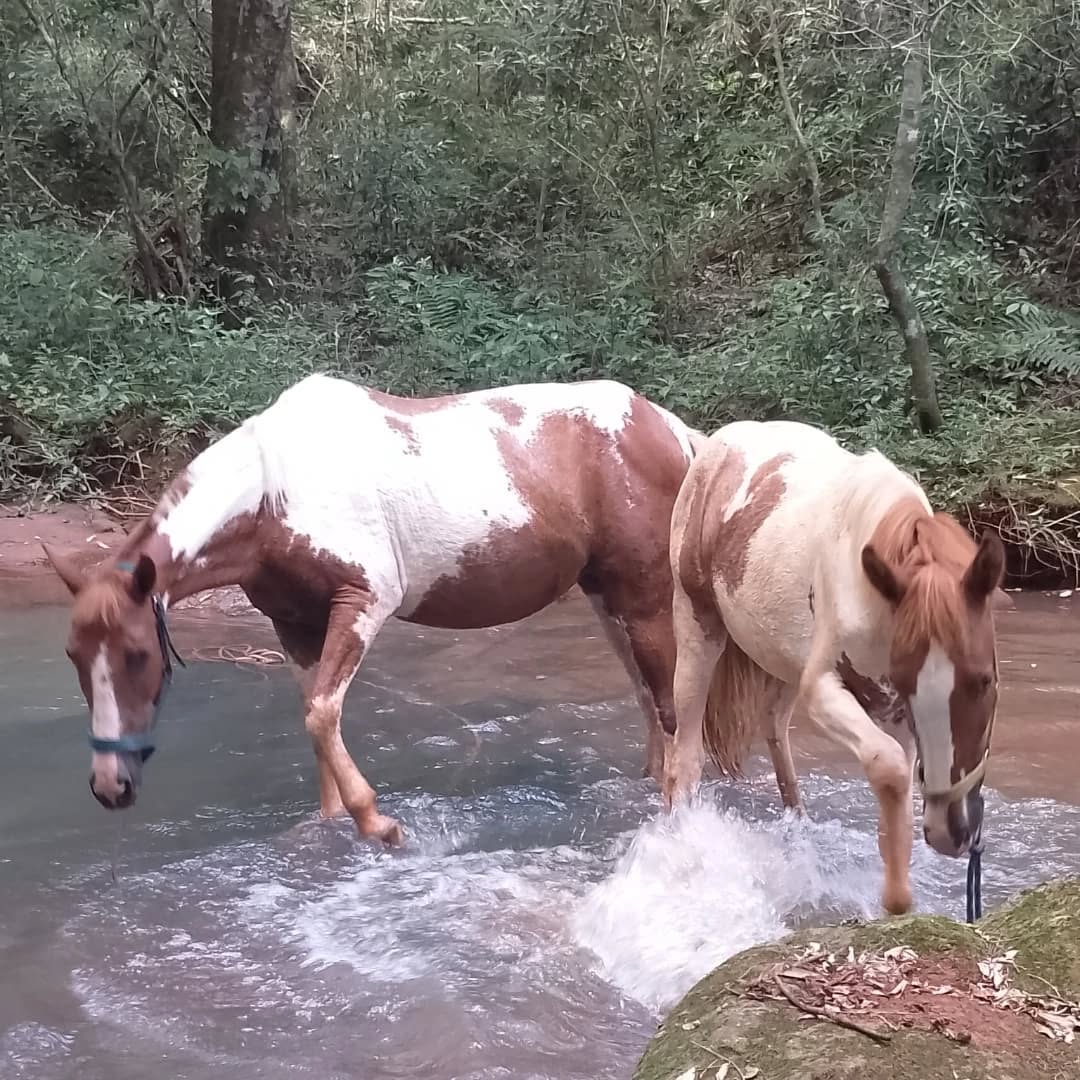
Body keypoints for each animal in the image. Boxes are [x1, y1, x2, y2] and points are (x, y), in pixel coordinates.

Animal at [45, 374, 716, 845]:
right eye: (74, 657)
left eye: (138, 656)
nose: (110, 787)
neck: (273, 494)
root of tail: (667, 428)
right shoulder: (293, 625)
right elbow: (314, 718)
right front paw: (331, 824)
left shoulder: (363, 602)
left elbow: (322, 713)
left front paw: (380, 825)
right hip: (608, 599)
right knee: (648, 706)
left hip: (644, 599)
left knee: (672, 713)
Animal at [663, 419, 1005, 916]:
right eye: (909, 683)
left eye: (985, 681)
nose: (951, 831)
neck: (872, 594)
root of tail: (713, 444)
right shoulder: (827, 690)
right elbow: (889, 769)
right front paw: (896, 902)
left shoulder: (894, 712)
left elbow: (896, 801)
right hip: (696, 628)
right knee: (684, 759)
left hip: (784, 660)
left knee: (775, 728)